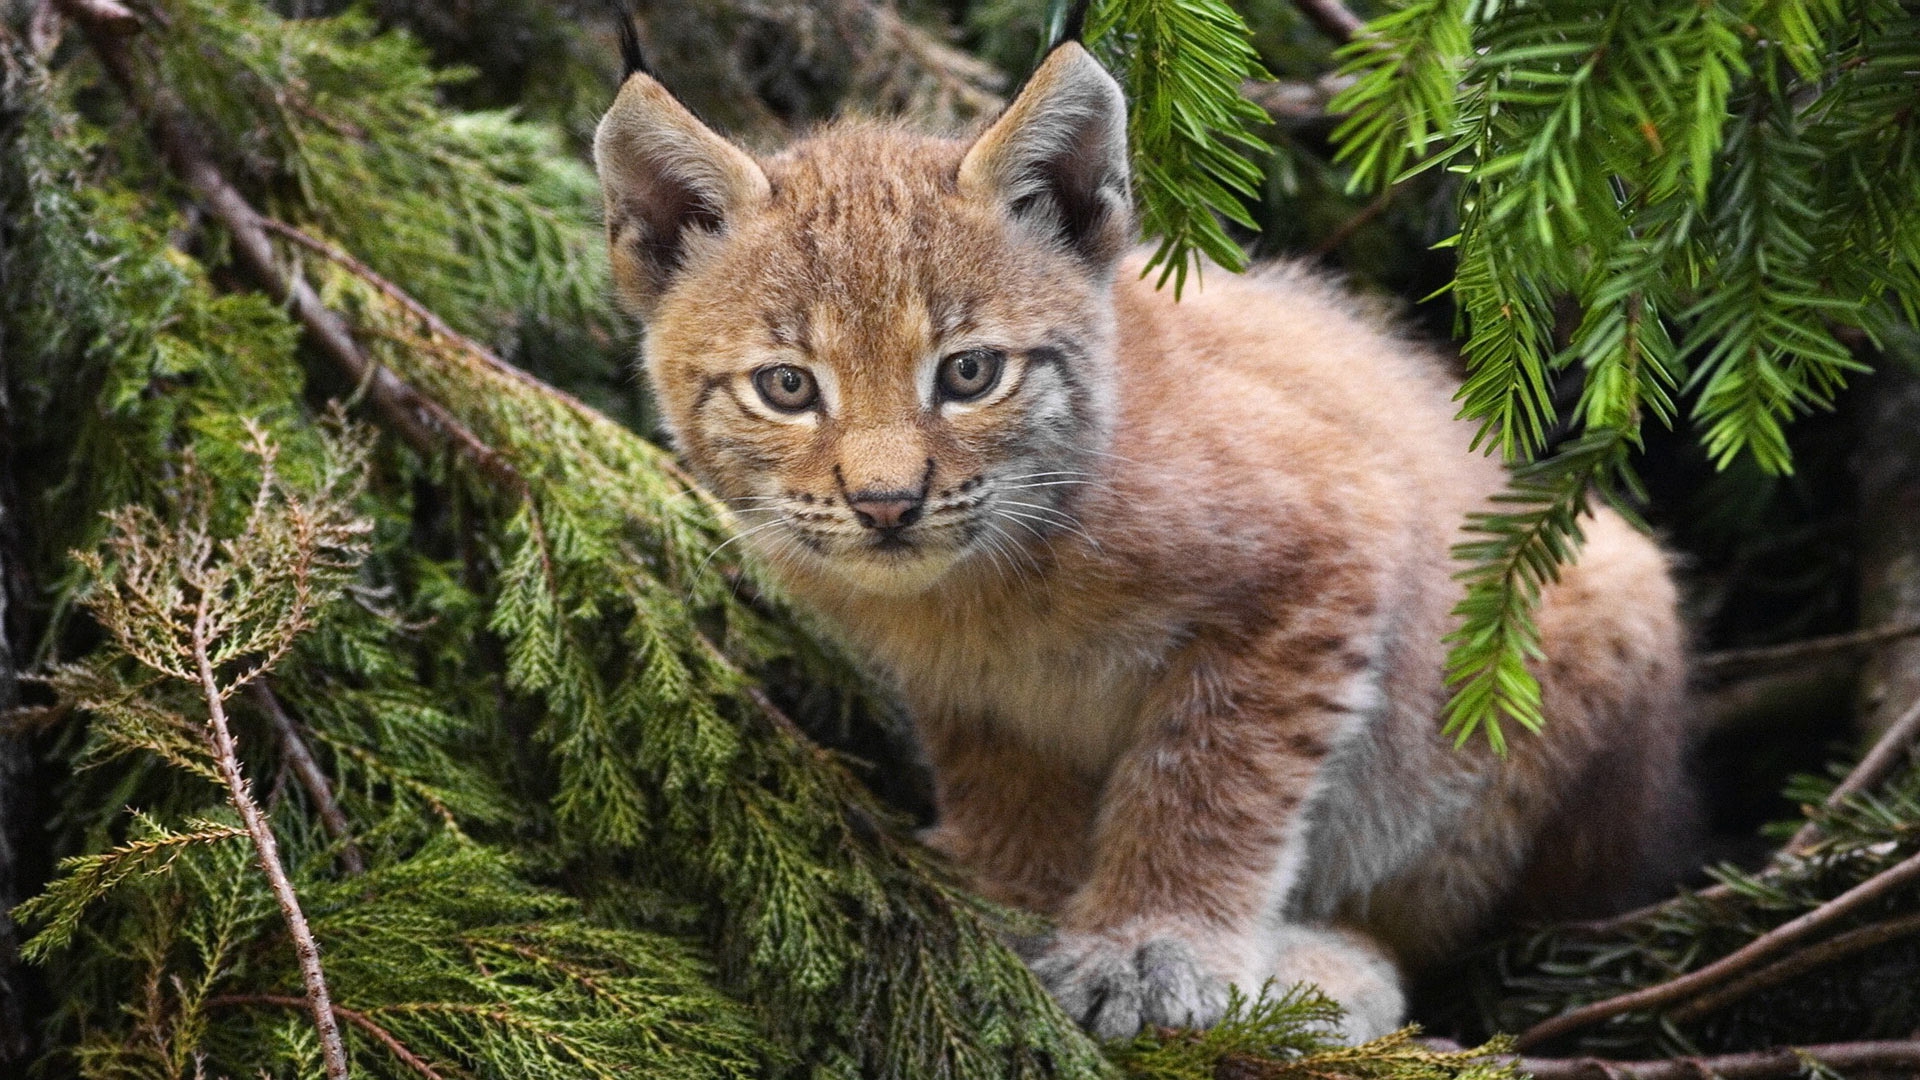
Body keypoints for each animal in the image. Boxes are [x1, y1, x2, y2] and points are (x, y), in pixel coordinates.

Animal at [591, 39, 1689, 1037]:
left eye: (971, 373)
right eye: (786, 387)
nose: (887, 504)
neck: (987, 579)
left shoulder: (1332, 538)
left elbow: (1210, 777)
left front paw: (1153, 945)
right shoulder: (970, 688)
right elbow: (1003, 775)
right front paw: (1015, 896)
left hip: (1566, 625)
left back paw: (1327, 976)